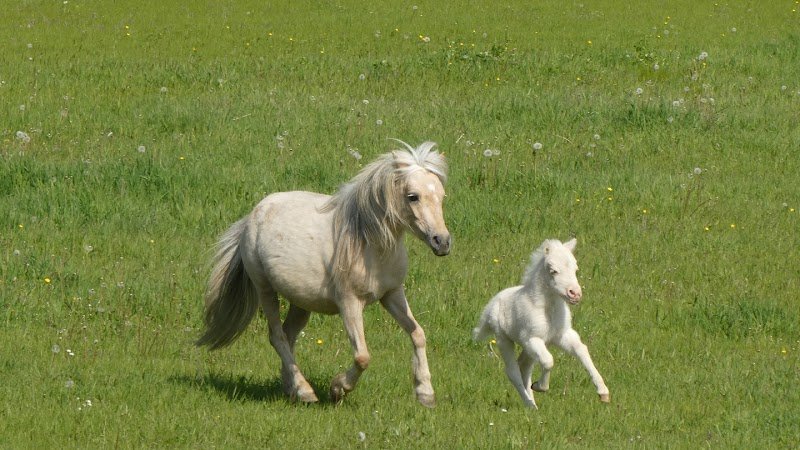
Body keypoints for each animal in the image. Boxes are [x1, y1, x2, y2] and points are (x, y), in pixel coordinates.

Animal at [196, 140, 450, 408]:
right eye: (413, 197)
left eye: (441, 196)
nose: (442, 242)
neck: (368, 244)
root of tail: (252, 216)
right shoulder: (349, 302)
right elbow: (362, 357)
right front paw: (337, 389)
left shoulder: (391, 294)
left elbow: (418, 334)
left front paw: (425, 393)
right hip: (265, 289)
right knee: (277, 336)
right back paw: (305, 391)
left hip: (300, 302)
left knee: (288, 335)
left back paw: (291, 389)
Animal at [473, 238, 610, 409]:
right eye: (553, 270)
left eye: (576, 269)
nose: (575, 294)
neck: (548, 309)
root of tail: (491, 304)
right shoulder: (532, 339)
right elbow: (548, 361)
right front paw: (540, 386)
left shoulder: (561, 336)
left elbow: (582, 350)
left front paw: (603, 392)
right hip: (504, 339)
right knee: (513, 371)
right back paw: (530, 404)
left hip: (529, 348)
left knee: (524, 367)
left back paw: (533, 406)